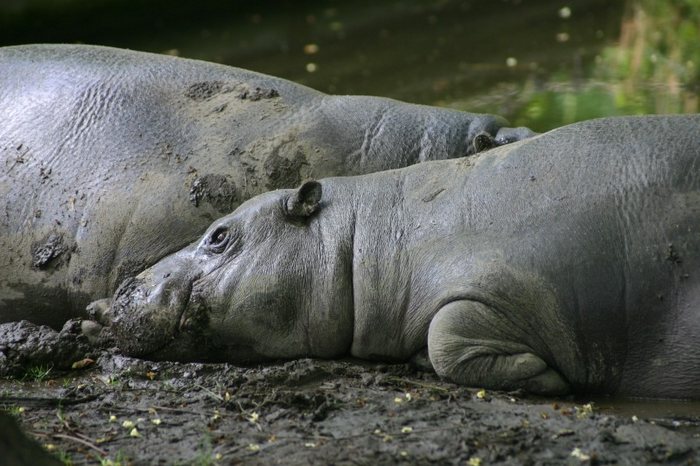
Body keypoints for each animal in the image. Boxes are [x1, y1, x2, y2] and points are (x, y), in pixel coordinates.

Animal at [89, 114, 700, 398]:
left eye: (218, 235)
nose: (115, 294)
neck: (373, 235)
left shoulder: (507, 282)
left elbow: (447, 336)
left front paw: (549, 380)